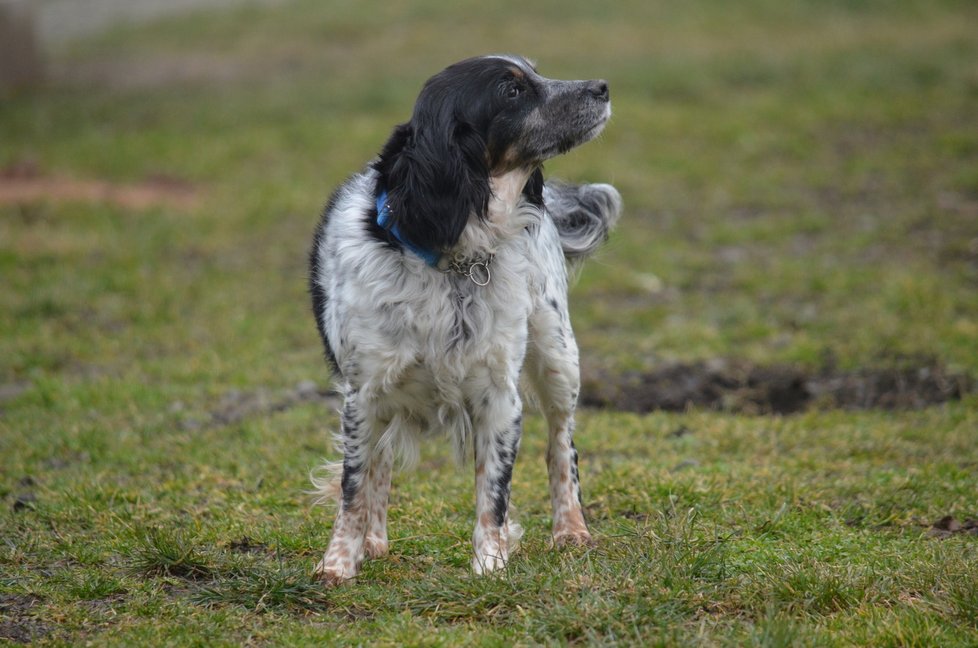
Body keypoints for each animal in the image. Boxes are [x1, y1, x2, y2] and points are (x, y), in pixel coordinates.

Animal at [308, 54, 620, 584]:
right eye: (511, 91)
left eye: (535, 72)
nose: (601, 86)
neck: (453, 255)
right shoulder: (363, 395)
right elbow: (354, 488)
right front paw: (339, 563)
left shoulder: (499, 396)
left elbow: (493, 494)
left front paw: (490, 564)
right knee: (380, 465)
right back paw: (373, 541)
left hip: (558, 356)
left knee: (562, 444)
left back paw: (571, 530)